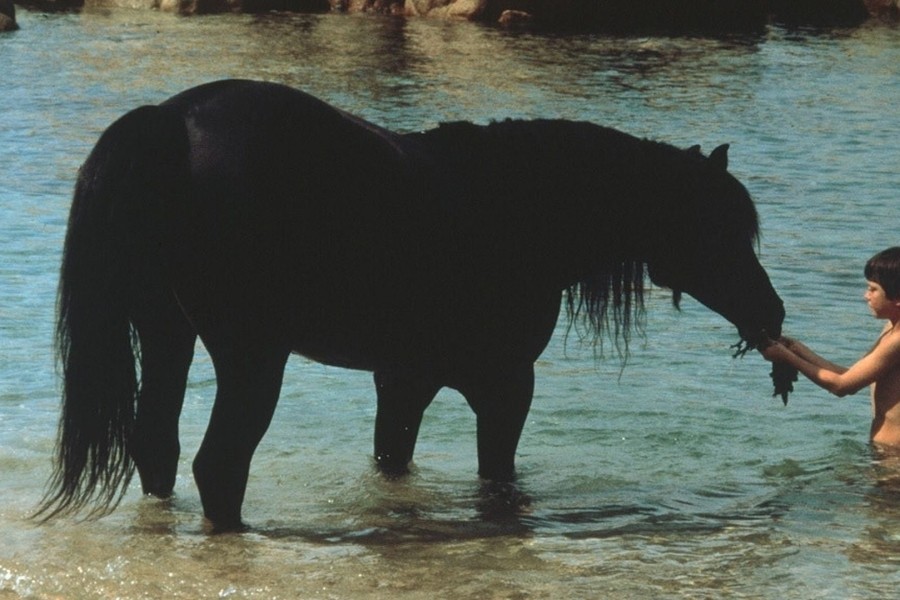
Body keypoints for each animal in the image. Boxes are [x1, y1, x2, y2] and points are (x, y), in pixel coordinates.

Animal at [37, 79, 785, 531]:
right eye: (720, 228)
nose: (772, 314)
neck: (521, 205)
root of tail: (169, 121)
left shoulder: (403, 381)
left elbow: (393, 464)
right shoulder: (506, 387)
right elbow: (497, 480)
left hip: (167, 335)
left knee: (156, 446)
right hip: (251, 358)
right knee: (218, 466)